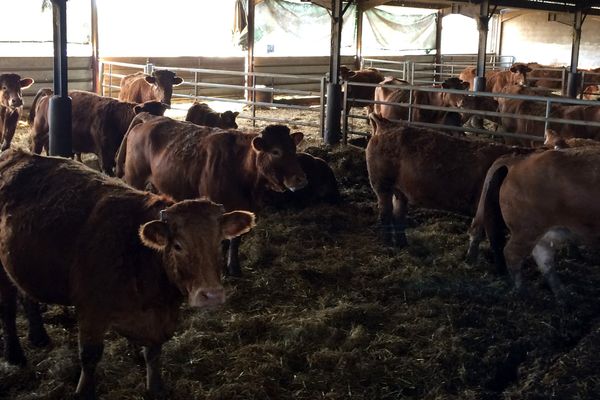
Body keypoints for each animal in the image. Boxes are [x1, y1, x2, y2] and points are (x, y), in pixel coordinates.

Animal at [0, 148, 255, 398]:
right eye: (177, 245)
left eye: (218, 242)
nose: (211, 295)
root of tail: (16, 152)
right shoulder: (91, 310)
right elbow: (90, 357)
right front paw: (84, 392)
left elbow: (153, 353)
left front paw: (156, 388)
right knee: (8, 311)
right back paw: (15, 355)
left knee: (27, 297)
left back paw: (38, 336)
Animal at [29, 90, 168, 174]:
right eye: (147, 117)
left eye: (161, 115)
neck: (117, 118)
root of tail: (48, 96)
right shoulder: (105, 154)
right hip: (39, 134)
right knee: (36, 147)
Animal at [115, 116, 308, 276]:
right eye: (275, 151)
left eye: (293, 149)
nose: (301, 179)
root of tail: (148, 120)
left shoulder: (244, 208)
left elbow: (235, 240)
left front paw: (234, 268)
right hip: (134, 177)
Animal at [366, 112, 528, 248]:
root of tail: (385, 125)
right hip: (381, 184)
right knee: (386, 213)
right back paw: (388, 244)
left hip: (400, 191)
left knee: (398, 215)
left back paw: (403, 244)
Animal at [468, 147, 600, 300]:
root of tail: (517, 160)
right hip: (528, 229)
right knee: (512, 254)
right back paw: (523, 291)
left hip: (546, 231)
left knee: (544, 259)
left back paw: (562, 294)